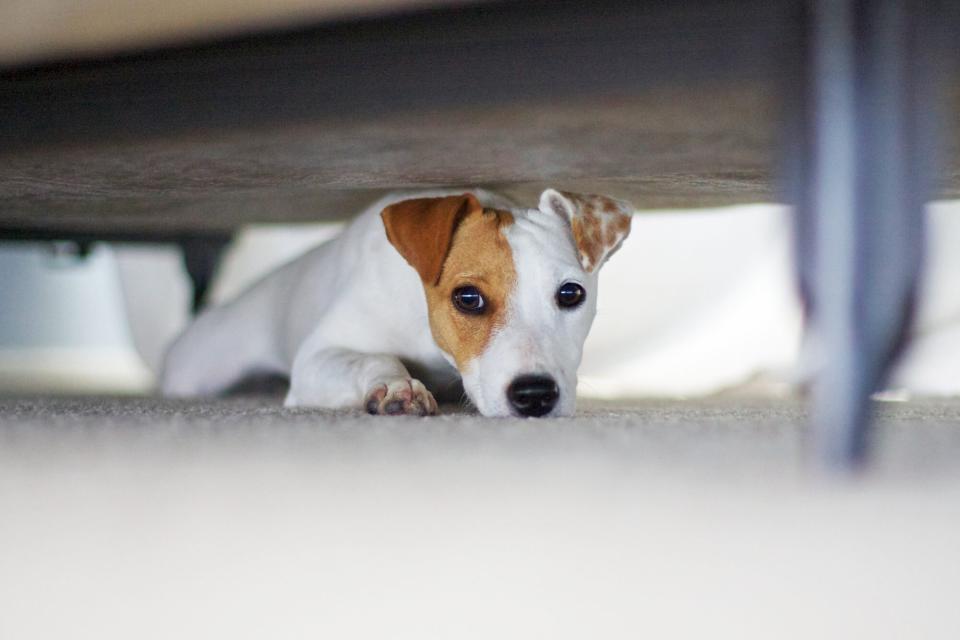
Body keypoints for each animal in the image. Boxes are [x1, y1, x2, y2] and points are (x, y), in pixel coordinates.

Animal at [161, 189, 632, 420]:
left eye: (571, 294)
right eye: (468, 298)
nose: (535, 396)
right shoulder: (318, 356)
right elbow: (373, 358)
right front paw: (396, 387)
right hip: (197, 370)